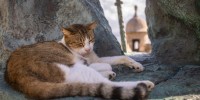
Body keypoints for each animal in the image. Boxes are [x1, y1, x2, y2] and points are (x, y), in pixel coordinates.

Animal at [4, 21, 155, 99]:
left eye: (91, 40)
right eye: (80, 43)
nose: (88, 49)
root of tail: (16, 77)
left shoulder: (95, 59)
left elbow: (120, 57)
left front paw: (136, 64)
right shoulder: (86, 63)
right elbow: (108, 65)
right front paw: (109, 71)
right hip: (70, 68)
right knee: (106, 84)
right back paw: (145, 84)